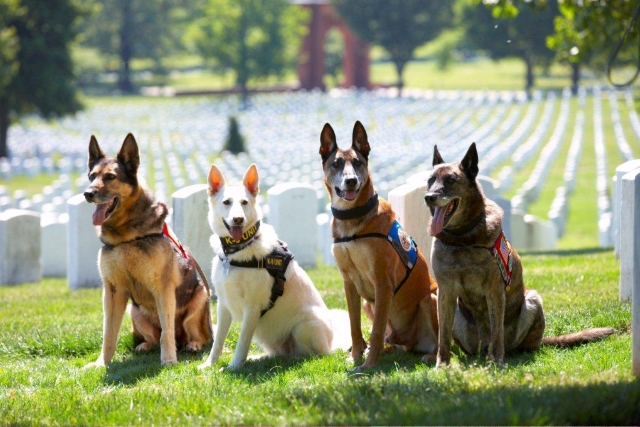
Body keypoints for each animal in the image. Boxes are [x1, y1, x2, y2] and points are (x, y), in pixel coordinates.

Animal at [81, 135, 212, 368]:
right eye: (92, 176)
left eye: (110, 177)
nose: (88, 194)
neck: (126, 237)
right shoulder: (113, 292)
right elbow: (109, 333)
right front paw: (102, 363)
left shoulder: (163, 288)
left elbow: (166, 332)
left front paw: (168, 360)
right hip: (135, 311)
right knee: (153, 336)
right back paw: (145, 346)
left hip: (201, 298)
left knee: (195, 335)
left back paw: (193, 344)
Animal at [199, 164, 350, 372]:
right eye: (226, 202)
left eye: (244, 202)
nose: (238, 219)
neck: (238, 250)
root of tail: (332, 343)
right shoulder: (223, 305)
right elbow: (218, 341)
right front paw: (210, 364)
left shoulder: (252, 308)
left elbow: (242, 341)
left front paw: (234, 367)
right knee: (279, 354)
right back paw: (256, 358)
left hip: (305, 325)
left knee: (312, 355)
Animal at [320, 120, 440, 372]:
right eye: (336, 164)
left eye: (358, 162)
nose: (351, 180)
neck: (352, 219)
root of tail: (412, 343)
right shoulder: (349, 283)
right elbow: (355, 326)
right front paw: (356, 355)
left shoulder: (382, 282)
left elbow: (375, 331)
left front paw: (368, 366)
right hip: (369, 304)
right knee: (390, 339)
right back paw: (388, 349)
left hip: (429, 299)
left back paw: (431, 355)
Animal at [424, 143, 616, 368]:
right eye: (430, 180)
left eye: (450, 180)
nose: (428, 197)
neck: (462, 238)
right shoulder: (445, 291)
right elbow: (443, 335)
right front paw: (441, 365)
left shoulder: (495, 289)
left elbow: (496, 330)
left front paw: (496, 361)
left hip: (532, 300)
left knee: (517, 344)